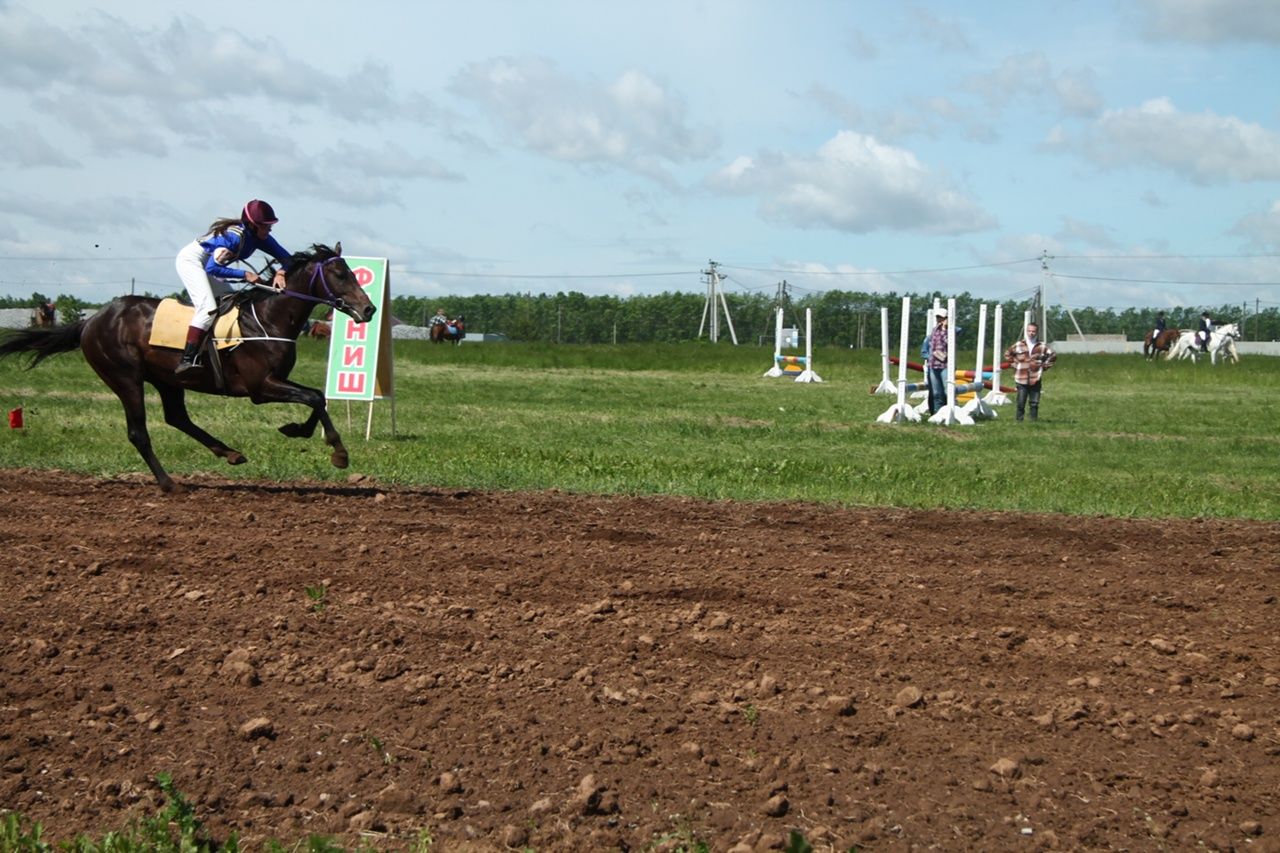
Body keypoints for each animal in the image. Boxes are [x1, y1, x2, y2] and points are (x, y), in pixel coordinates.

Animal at [0, 242, 376, 489]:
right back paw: (169, 483)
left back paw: (229, 453)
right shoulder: (260, 387)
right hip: (125, 378)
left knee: (176, 417)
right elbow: (313, 397)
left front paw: (298, 430)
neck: (268, 318)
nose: (369, 309)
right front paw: (339, 452)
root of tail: (90, 321)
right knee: (139, 432)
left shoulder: (277, 381)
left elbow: (317, 396)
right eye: (340, 274)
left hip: (167, 380)